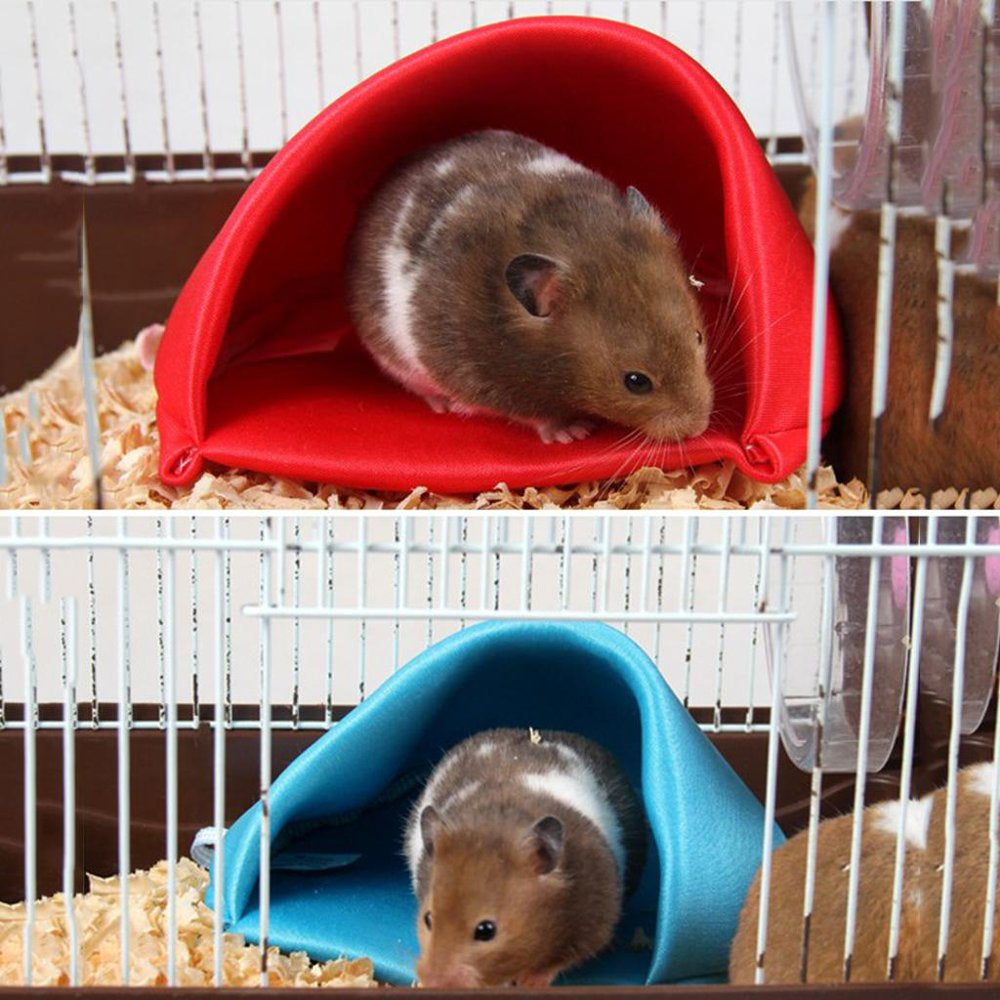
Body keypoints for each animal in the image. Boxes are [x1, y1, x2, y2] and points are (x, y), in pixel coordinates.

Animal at [346, 129, 713, 445]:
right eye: (636, 382)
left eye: (698, 337)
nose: (699, 427)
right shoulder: (489, 385)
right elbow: (539, 416)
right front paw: (575, 432)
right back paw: (441, 404)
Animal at [403, 727, 648, 989]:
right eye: (428, 919)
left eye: (486, 930)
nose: (432, 981)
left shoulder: (596, 918)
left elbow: (565, 959)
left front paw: (530, 982)